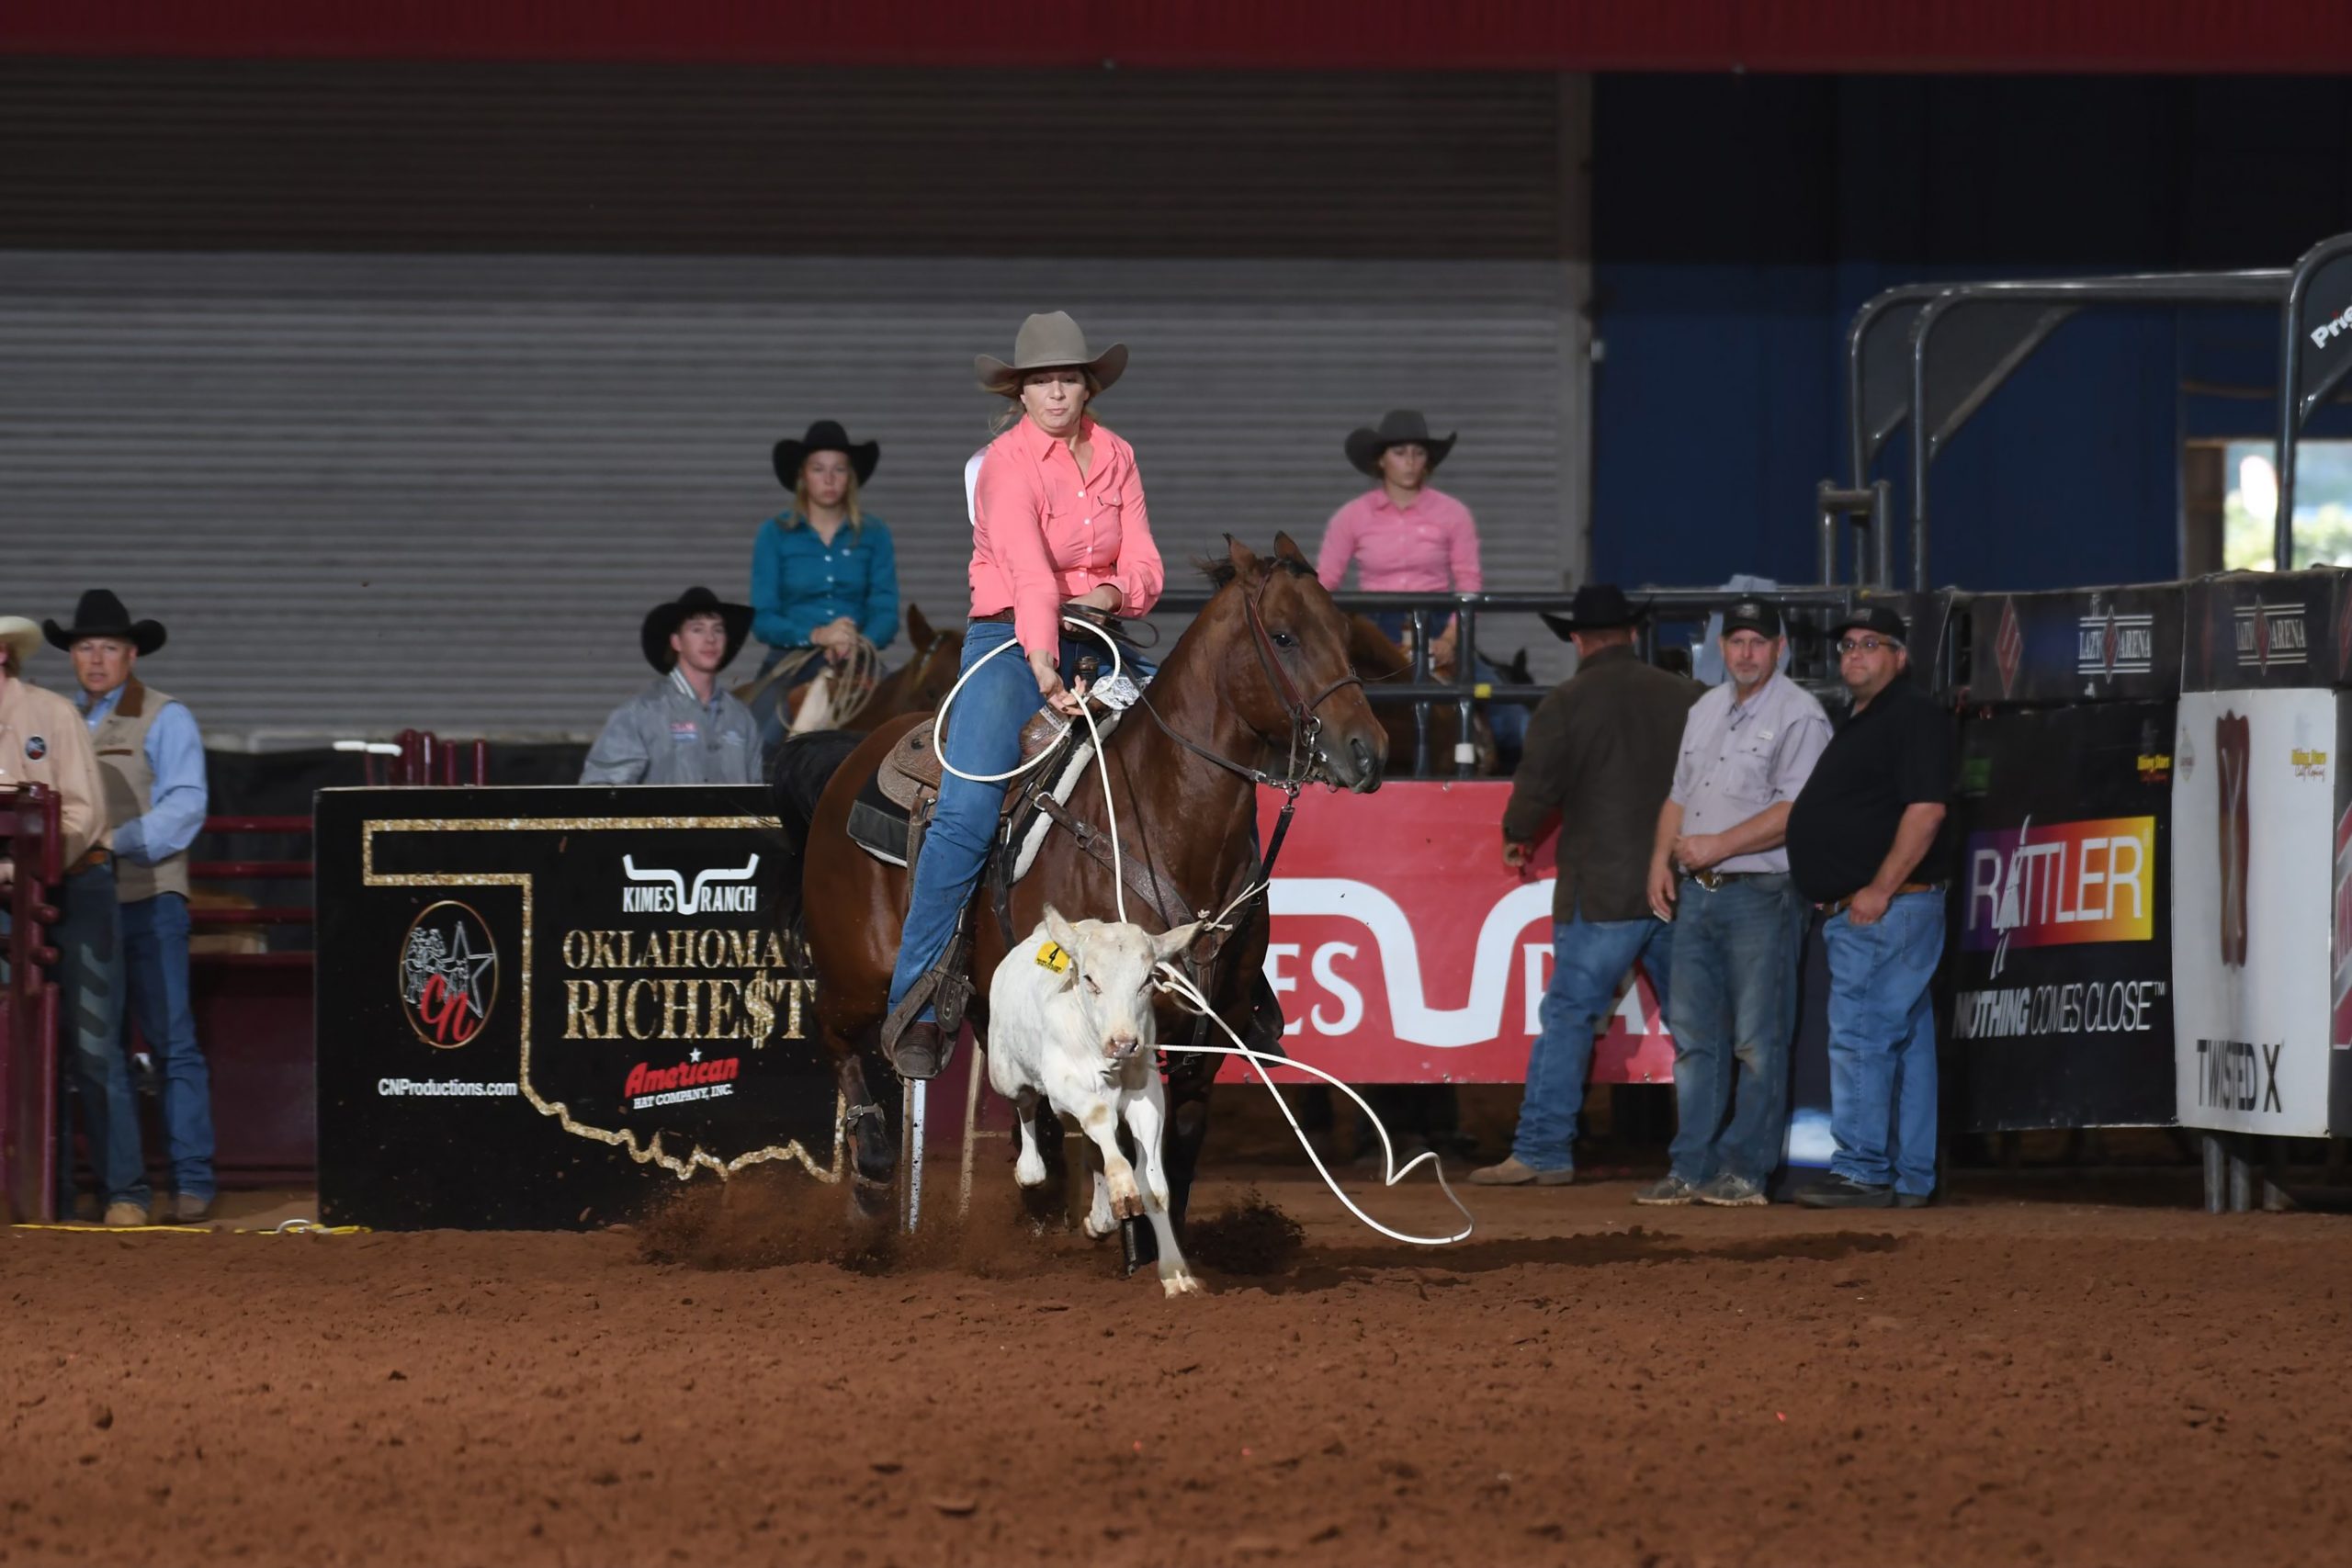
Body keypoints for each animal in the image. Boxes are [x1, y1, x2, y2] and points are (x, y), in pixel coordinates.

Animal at [771, 533, 1392, 1232]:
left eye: (1345, 633)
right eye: (1283, 636)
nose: (1369, 751)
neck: (1162, 817)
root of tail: (850, 751)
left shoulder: (1204, 1045)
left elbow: (1176, 1160)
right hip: (854, 972)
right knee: (836, 1035)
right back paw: (875, 1170)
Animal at [992, 907, 1213, 1297]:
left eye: (1147, 980)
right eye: (1090, 979)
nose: (1123, 1043)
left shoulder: (1146, 1095)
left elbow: (1155, 1189)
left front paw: (1176, 1275)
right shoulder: (1064, 1084)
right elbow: (1098, 1116)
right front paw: (1123, 1187)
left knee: (1094, 1150)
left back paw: (1100, 1218)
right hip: (1005, 1074)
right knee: (1026, 1103)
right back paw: (1030, 1170)